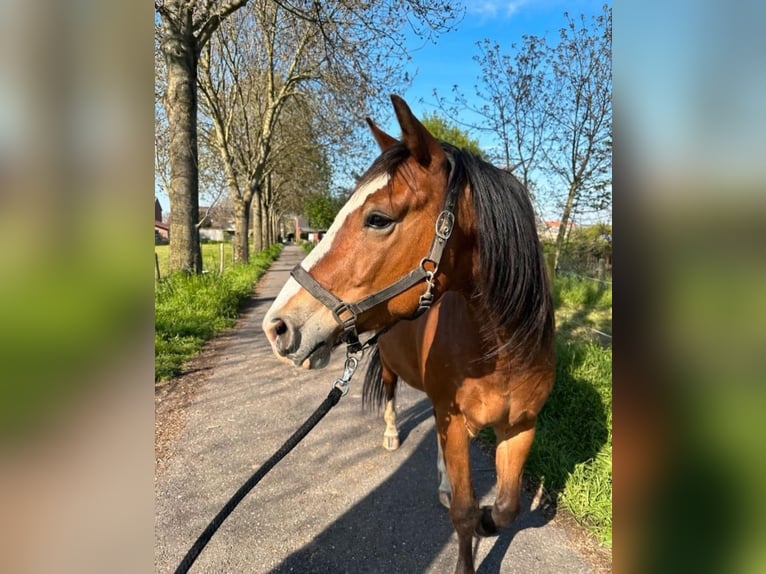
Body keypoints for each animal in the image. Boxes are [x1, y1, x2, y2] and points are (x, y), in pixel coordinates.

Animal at [260, 94, 556, 574]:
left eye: (378, 219)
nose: (278, 326)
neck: (504, 350)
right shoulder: (455, 417)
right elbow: (465, 513)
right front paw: (470, 539)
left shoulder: (522, 427)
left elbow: (507, 507)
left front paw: (488, 520)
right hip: (394, 368)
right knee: (391, 392)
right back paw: (392, 436)